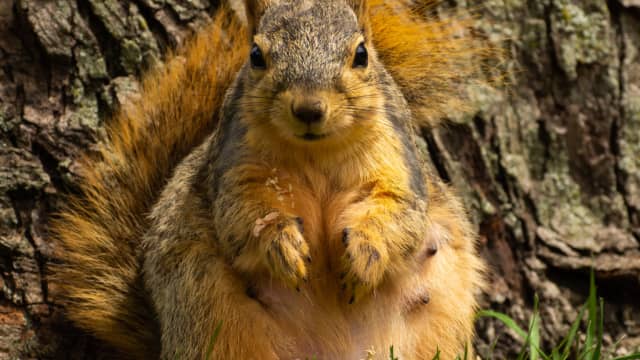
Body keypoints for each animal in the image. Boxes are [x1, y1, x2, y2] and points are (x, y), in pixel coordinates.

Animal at [52, 0, 490, 358]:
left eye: (361, 54)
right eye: (256, 56)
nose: (309, 108)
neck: (315, 153)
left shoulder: (399, 163)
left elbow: (399, 212)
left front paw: (365, 253)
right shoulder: (234, 171)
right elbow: (243, 216)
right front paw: (281, 243)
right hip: (217, 330)